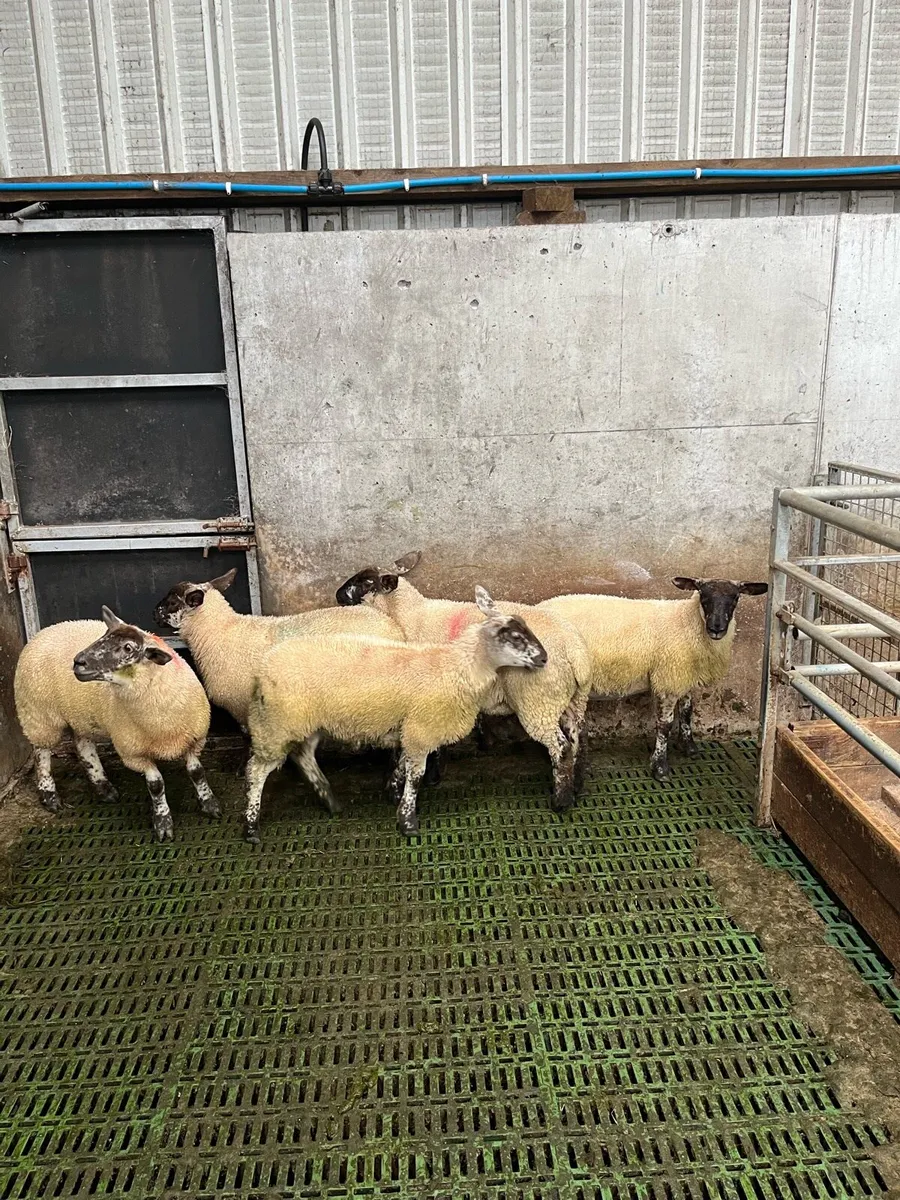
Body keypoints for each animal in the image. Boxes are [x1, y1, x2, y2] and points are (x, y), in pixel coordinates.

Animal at [13, 607, 217, 842]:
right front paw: (163, 822)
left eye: (128, 647)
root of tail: (43, 632)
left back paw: (103, 787)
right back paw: (49, 795)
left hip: (78, 714)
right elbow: (156, 785)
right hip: (38, 713)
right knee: (42, 752)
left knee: (82, 745)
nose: (78, 662)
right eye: (103, 636)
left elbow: (197, 772)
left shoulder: (194, 740)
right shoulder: (134, 754)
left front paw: (209, 804)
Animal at [244, 587, 548, 842]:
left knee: (304, 756)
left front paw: (392, 792)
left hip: (306, 721)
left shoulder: (410, 729)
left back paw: (330, 801)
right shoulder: (422, 729)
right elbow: (416, 775)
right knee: (257, 771)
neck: (455, 667)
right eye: (516, 637)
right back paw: (251, 827)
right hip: (277, 723)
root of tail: (263, 669)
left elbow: (402, 765)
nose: (544, 658)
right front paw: (408, 821)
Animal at [335, 552, 593, 810]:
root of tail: (575, 651)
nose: (338, 595)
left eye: (367, 582)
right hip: (571, 698)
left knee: (561, 748)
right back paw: (576, 785)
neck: (410, 617)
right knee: (578, 738)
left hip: (538, 701)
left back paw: (561, 801)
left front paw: (424, 777)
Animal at [538, 577, 768, 781]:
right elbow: (665, 725)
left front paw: (689, 747)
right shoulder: (669, 679)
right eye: (703, 596)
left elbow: (687, 712)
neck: (687, 621)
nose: (716, 628)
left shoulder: (684, 677)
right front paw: (660, 767)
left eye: (735, 597)